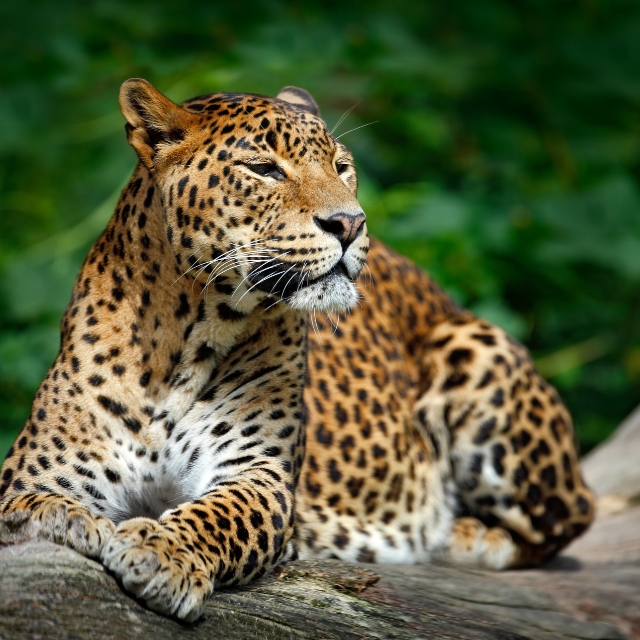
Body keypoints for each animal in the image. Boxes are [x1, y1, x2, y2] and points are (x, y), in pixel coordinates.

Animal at [0, 79, 596, 620]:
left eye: (342, 166)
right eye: (265, 169)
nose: (350, 223)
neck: (182, 338)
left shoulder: (258, 474)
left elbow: (217, 516)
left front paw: (160, 552)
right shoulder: (37, 471)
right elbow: (30, 505)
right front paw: (68, 521)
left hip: (476, 348)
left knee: (571, 516)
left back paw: (462, 535)